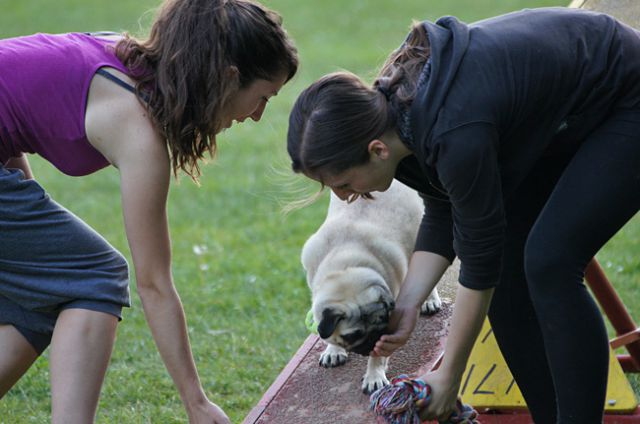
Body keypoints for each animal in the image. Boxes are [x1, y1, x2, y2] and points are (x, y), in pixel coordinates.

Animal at [302, 179, 442, 394]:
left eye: (382, 322)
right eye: (353, 335)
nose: (372, 341)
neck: (345, 267)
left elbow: (379, 356)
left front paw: (374, 376)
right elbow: (326, 333)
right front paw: (333, 350)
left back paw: (430, 300)